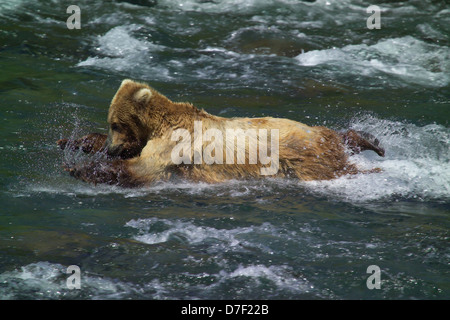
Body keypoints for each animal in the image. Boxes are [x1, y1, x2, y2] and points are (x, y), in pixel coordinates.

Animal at [58, 78, 384, 188]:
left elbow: (142, 168)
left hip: (305, 155)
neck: (159, 123)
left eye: (115, 123)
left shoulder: (174, 143)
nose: (112, 148)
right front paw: (72, 142)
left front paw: (79, 168)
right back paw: (372, 142)